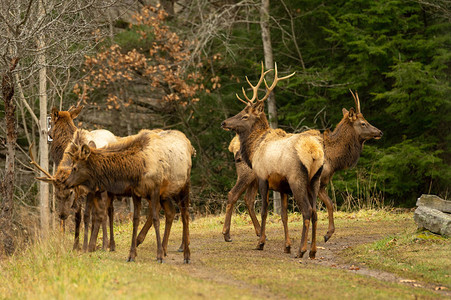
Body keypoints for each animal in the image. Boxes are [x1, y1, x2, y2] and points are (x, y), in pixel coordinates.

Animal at [222, 63, 324, 260]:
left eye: (245, 115)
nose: (224, 122)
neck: (254, 147)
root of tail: (314, 152)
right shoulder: (282, 187)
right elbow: (284, 215)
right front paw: (287, 246)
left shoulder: (263, 177)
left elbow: (264, 210)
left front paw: (260, 243)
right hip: (315, 181)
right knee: (315, 212)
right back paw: (313, 251)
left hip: (297, 180)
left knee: (307, 211)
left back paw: (302, 250)